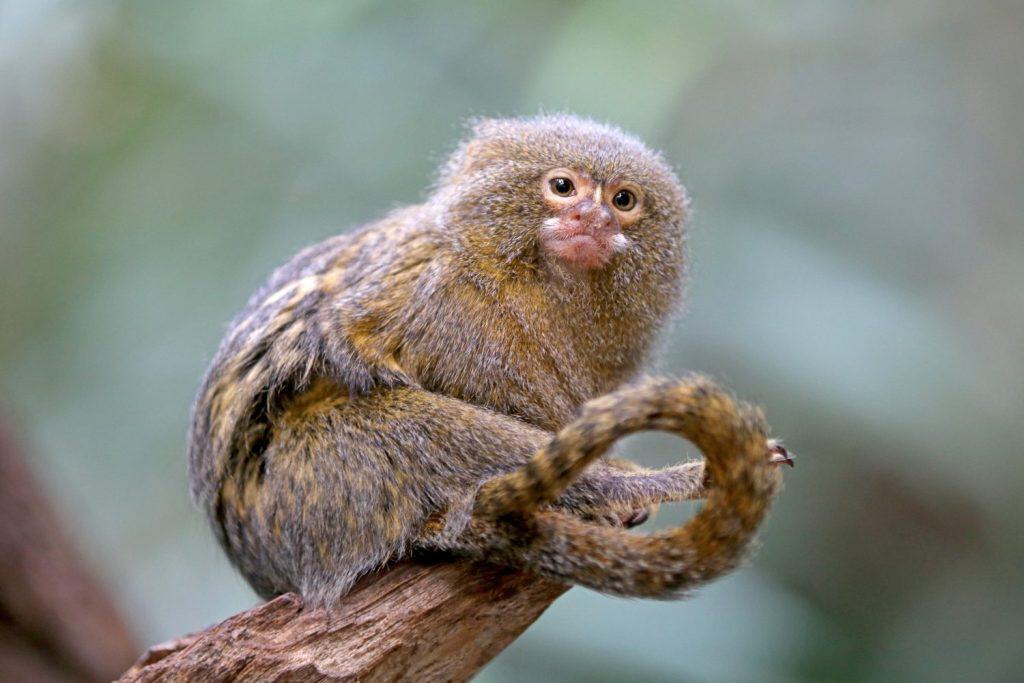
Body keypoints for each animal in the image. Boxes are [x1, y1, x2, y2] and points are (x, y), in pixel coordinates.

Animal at [187, 114, 792, 607]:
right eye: (562, 187)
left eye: (624, 200)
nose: (592, 217)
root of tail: (270, 570)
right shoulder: (452, 311)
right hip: (312, 490)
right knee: (412, 427)